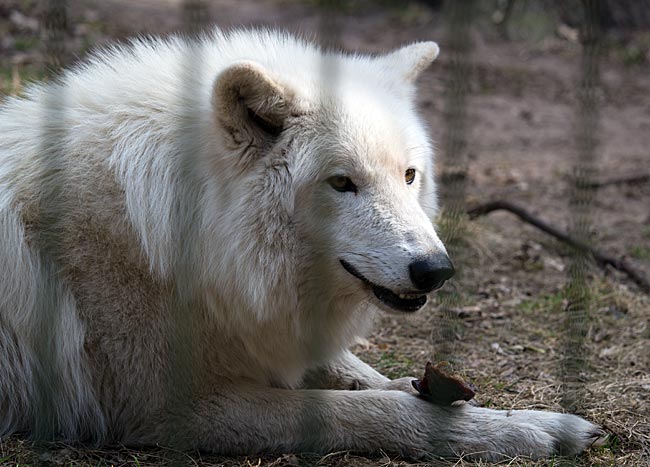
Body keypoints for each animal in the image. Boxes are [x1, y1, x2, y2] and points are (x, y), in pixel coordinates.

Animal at [0, 30, 600, 464]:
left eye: (408, 175)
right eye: (342, 183)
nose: (436, 270)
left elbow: (369, 378)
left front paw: (516, 418)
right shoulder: (176, 409)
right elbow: (371, 409)